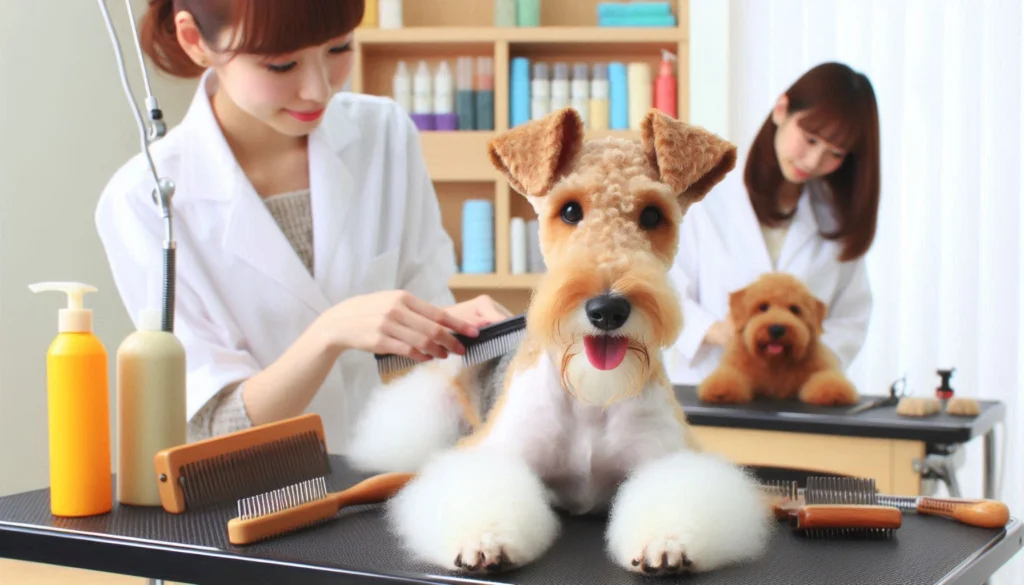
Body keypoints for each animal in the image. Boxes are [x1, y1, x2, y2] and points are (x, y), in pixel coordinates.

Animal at [348, 106, 770, 577]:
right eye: (569, 210)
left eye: (652, 215)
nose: (607, 309)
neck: (590, 395)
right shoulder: (494, 451)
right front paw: (484, 540)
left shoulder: (669, 455)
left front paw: (667, 542)